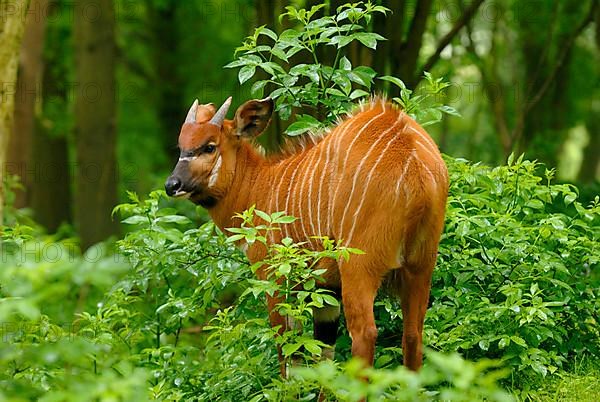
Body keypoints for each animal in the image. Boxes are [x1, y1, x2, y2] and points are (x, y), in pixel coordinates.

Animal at [166, 96, 448, 372]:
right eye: (181, 146)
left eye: (209, 147)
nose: (172, 185)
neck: (262, 186)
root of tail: (415, 168)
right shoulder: (326, 286)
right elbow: (323, 351)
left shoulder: (275, 278)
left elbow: (289, 352)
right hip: (421, 265)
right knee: (413, 335)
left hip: (359, 266)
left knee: (364, 334)